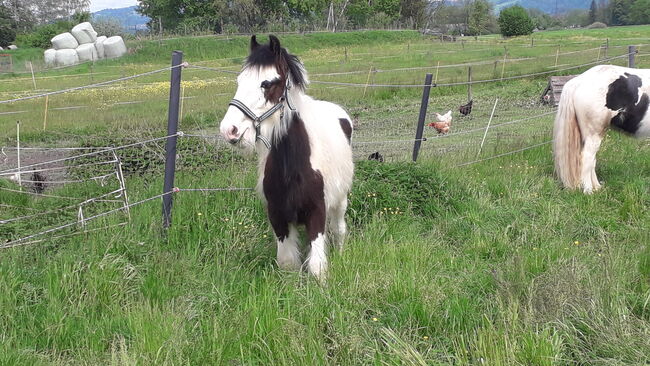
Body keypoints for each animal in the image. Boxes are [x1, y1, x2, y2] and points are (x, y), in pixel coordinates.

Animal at [219, 35, 354, 278]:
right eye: (240, 81)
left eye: (267, 83)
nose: (229, 130)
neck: (292, 168)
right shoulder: (278, 216)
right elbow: (288, 264)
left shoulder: (316, 213)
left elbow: (316, 267)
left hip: (340, 201)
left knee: (339, 229)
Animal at [552, 64, 648, 193]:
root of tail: (578, 81)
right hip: (594, 134)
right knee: (586, 158)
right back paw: (588, 191)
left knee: (592, 160)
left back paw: (597, 187)